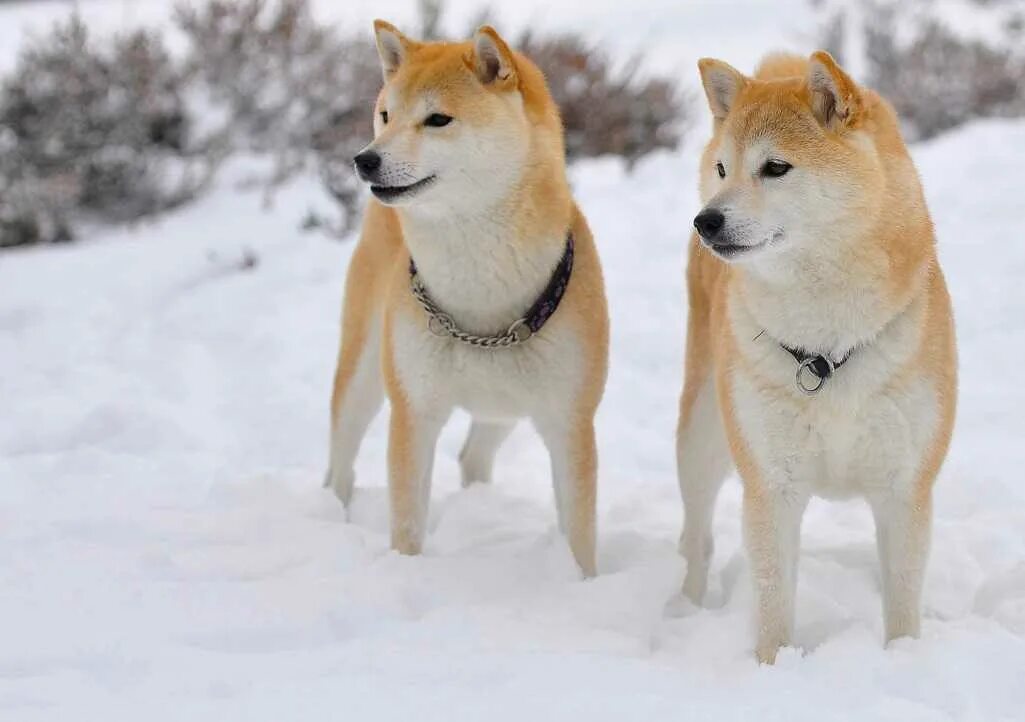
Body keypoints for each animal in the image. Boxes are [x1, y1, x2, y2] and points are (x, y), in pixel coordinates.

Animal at [325, 21, 606, 574]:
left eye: (437, 119)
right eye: (386, 114)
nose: (365, 159)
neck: (479, 305)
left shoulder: (569, 422)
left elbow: (580, 537)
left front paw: (583, 584)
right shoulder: (414, 412)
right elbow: (407, 524)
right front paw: (404, 572)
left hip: (508, 409)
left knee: (474, 457)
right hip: (364, 374)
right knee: (339, 463)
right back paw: (328, 515)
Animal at [676, 49, 955, 660]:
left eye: (775, 168)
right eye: (724, 169)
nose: (706, 220)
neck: (826, 351)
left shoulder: (905, 488)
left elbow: (903, 601)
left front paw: (904, 661)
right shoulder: (771, 487)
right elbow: (774, 603)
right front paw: (774, 667)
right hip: (702, 440)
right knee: (697, 540)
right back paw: (683, 609)